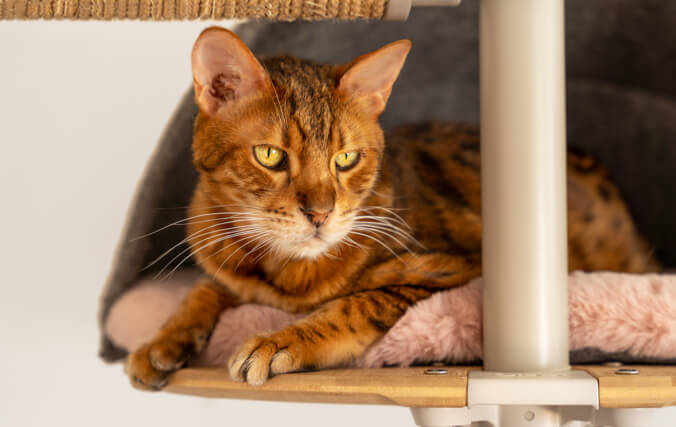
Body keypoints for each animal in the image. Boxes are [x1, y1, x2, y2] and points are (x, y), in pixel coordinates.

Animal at [124, 25, 656, 390]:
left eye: (346, 159)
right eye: (270, 155)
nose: (320, 214)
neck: (288, 278)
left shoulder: (452, 268)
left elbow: (355, 303)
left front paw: (282, 340)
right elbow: (203, 290)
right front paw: (164, 339)